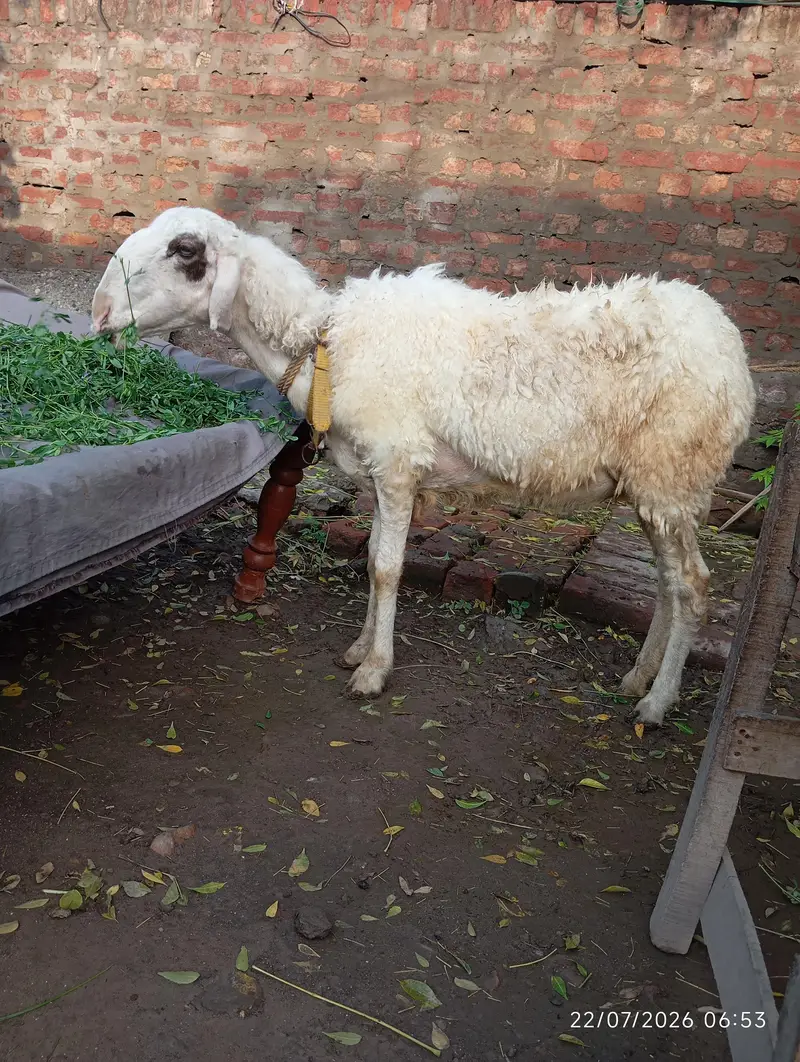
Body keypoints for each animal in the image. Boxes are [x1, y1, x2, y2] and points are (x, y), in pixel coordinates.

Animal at [92, 206, 755, 725]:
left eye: (184, 251)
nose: (97, 314)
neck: (324, 341)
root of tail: (729, 345)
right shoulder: (380, 474)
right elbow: (371, 558)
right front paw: (360, 648)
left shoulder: (397, 462)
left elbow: (387, 569)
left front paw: (374, 671)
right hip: (657, 487)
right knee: (668, 586)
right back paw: (638, 678)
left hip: (674, 472)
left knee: (693, 587)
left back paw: (657, 703)